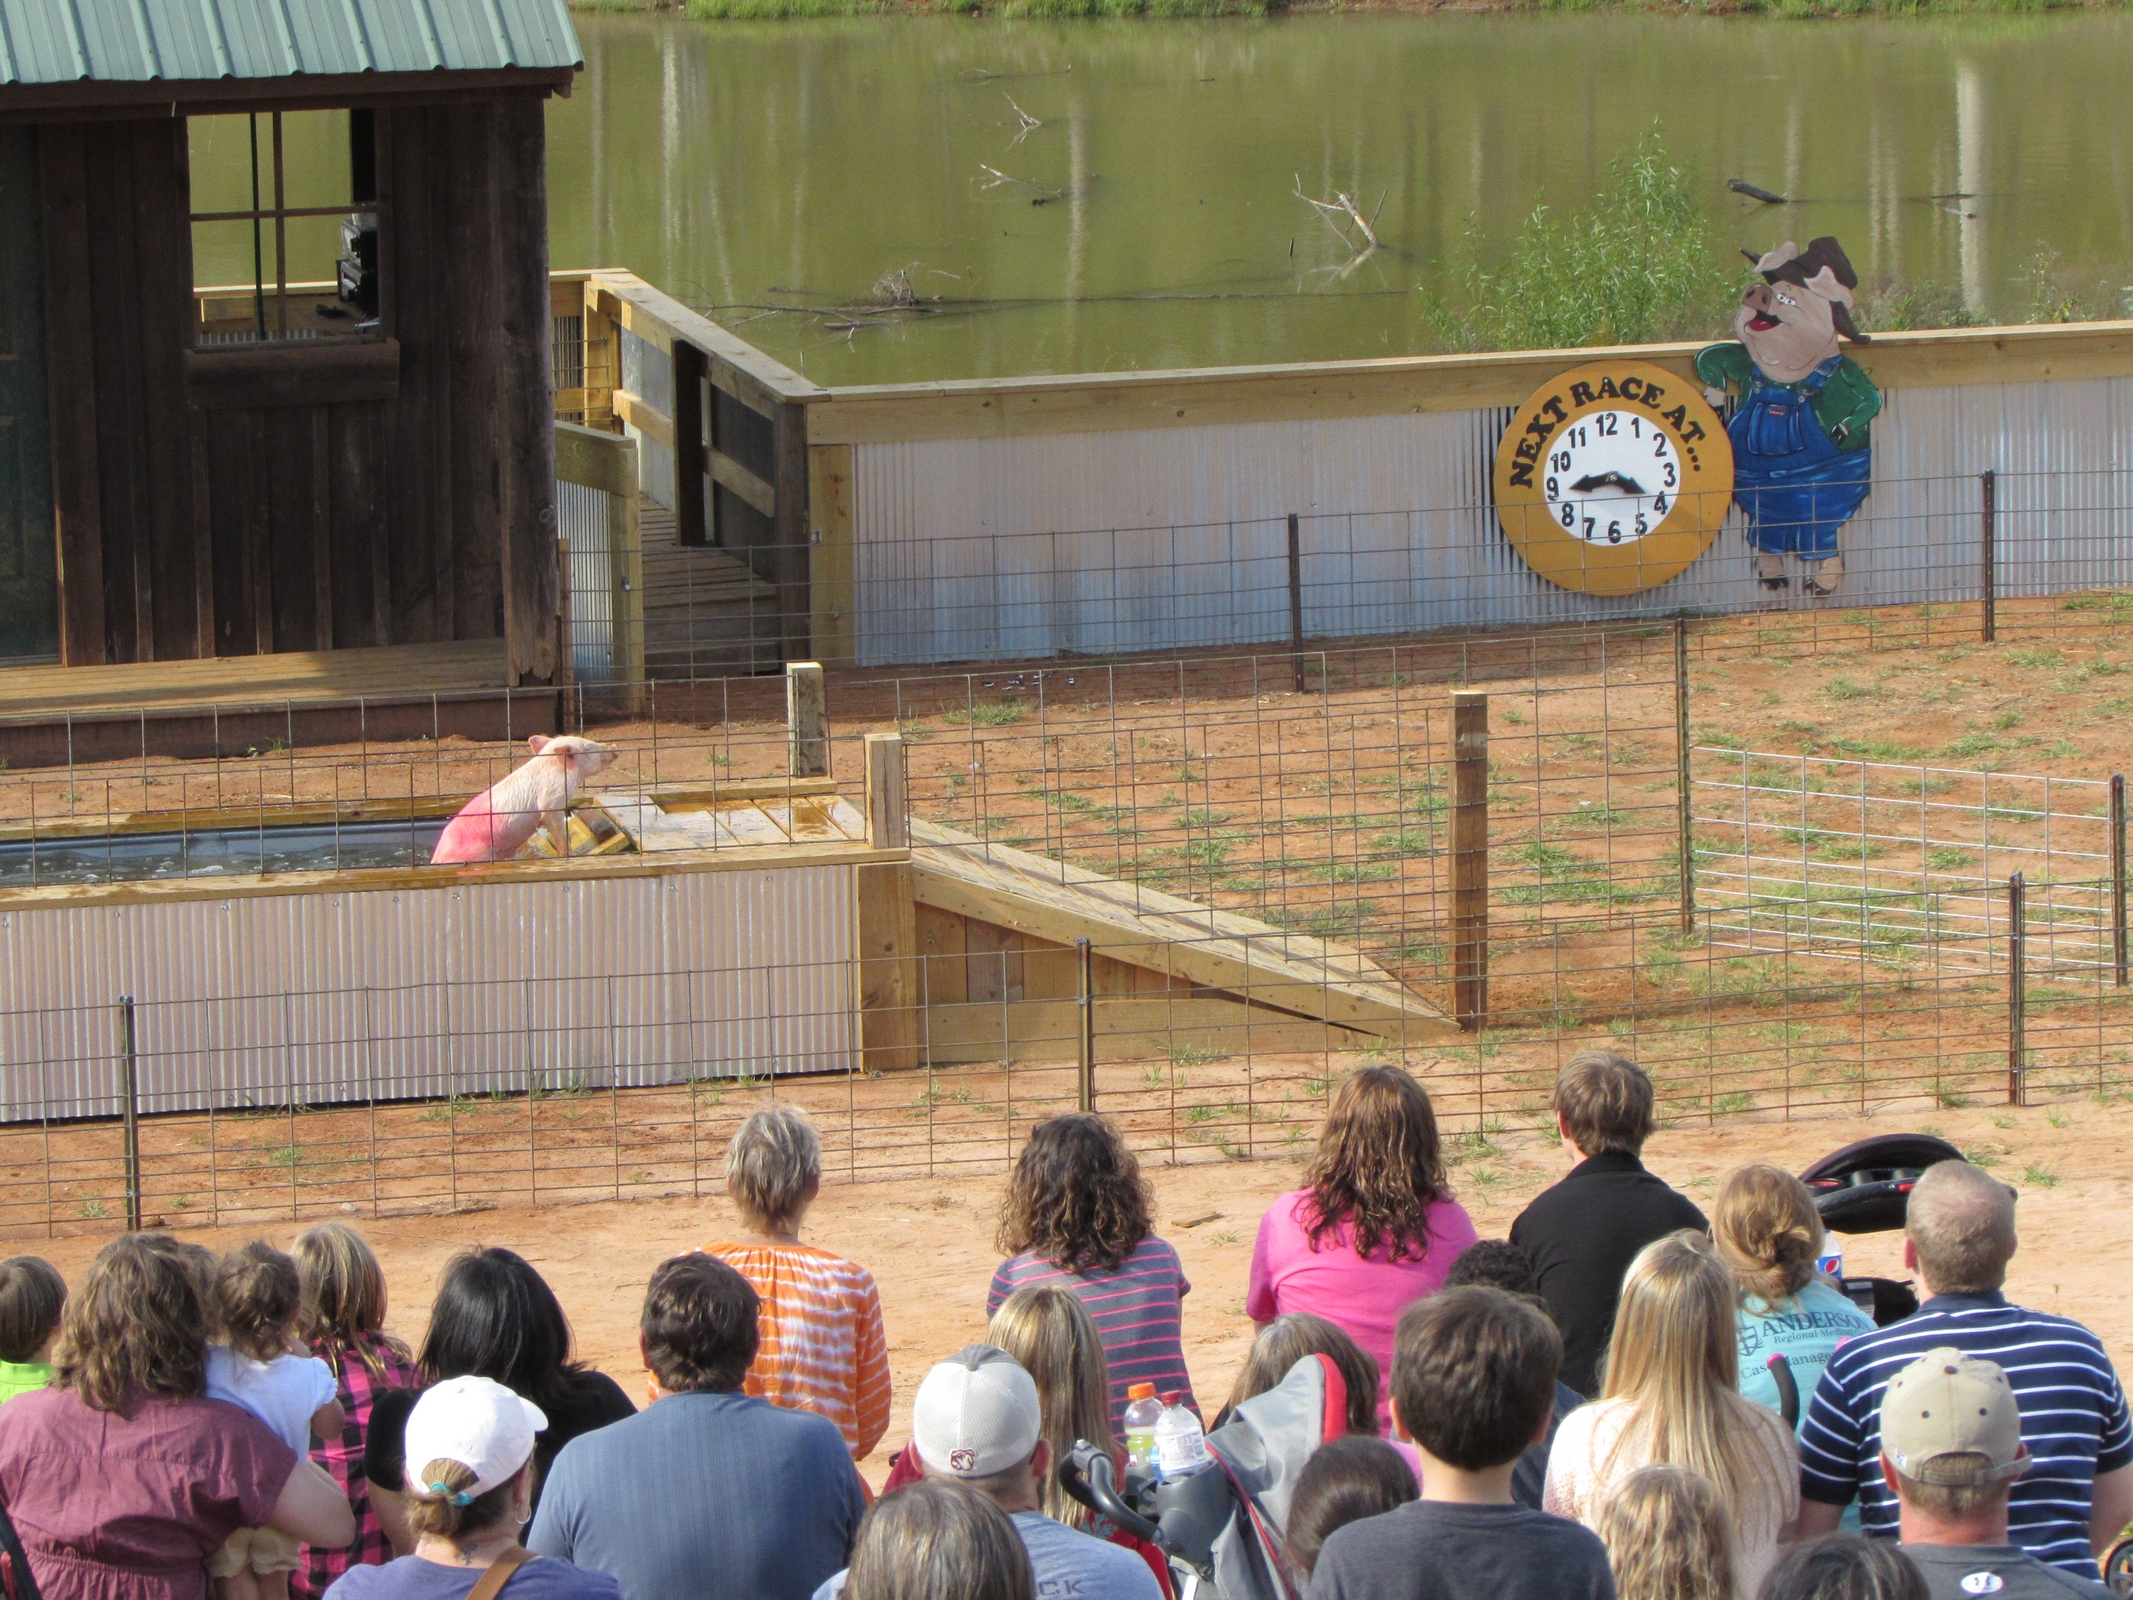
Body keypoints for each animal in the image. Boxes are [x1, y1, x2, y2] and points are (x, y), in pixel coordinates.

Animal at [428, 738, 618, 866]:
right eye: (588, 747)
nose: (614, 747)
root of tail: (436, 859)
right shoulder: (551, 801)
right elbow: (559, 829)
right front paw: (567, 854)